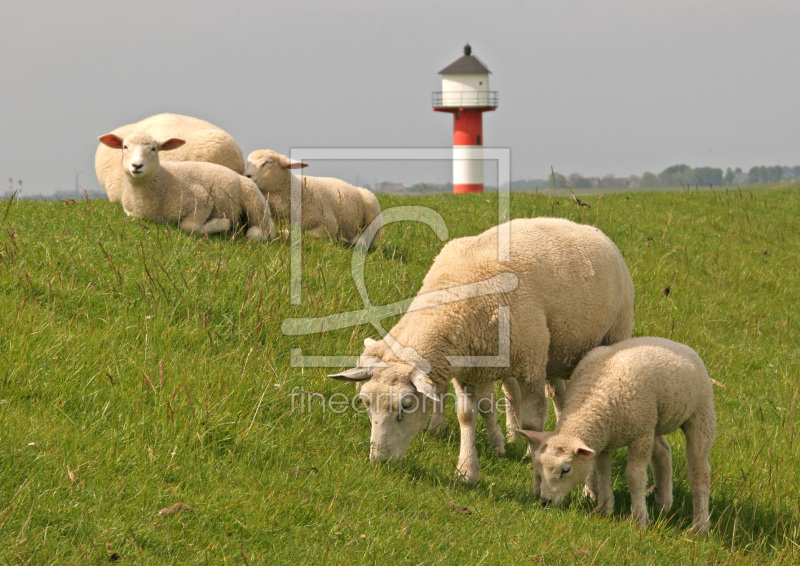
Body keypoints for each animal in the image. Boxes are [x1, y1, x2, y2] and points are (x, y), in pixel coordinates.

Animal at [97, 132, 276, 241]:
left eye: (154, 149)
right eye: (125, 147)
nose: (136, 166)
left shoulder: (202, 198)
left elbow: (189, 227)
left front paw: (221, 224)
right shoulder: (130, 211)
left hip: (254, 200)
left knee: (268, 229)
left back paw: (253, 232)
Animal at [242, 151, 382, 248]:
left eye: (267, 162)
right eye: (247, 162)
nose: (246, 175)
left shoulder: (329, 223)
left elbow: (304, 234)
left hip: (373, 212)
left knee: (369, 239)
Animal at [328, 217, 636, 484]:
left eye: (406, 405)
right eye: (364, 403)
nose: (379, 461)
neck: (456, 297)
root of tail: (587, 228)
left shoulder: (530, 363)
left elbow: (532, 420)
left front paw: (534, 460)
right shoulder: (469, 369)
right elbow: (467, 415)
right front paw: (467, 470)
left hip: (610, 335)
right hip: (556, 353)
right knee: (560, 395)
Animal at [520, 340, 720, 536]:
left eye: (566, 470)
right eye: (539, 466)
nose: (545, 502)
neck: (593, 401)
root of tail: (678, 344)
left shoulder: (640, 436)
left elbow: (635, 477)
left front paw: (639, 519)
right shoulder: (603, 440)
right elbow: (603, 472)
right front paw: (605, 509)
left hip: (700, 414)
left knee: (700, 471)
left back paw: (701, 524)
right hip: (654, 420)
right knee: (663, 452)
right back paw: (663, 504)